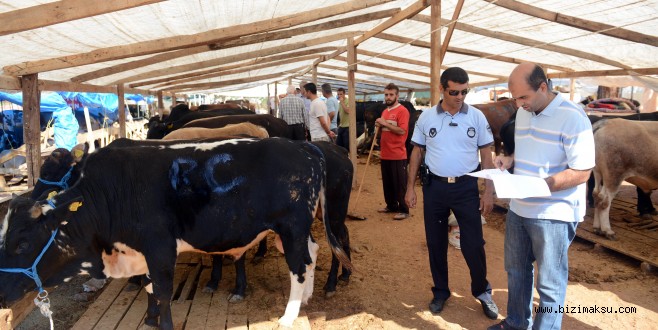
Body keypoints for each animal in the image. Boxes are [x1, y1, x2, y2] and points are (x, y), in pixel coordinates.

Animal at [0, 138, 352, 328]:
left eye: (23, 242)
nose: (0, 290)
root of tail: (305, 145)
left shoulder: (160, 246)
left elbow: (163, 291)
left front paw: (161, 323)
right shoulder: (141, 252)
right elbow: (149, 288)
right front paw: (149, 318)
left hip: (292, 226)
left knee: (299, 266)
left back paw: (290, 314)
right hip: (296, 230)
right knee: (311, 255)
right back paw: (306, 299)